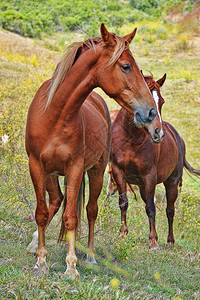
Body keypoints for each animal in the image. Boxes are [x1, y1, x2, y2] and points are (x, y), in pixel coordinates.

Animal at [25, 23, 162, 278]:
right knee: (55, 201)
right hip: (51, 174)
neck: (55, 115)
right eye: (126, 66)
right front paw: (41, 260)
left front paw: (71, 266)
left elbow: (71, 217)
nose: (149, 112)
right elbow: (41, 212)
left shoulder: (75, 169)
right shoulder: (36, 166)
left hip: (96, 171)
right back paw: (34, 244)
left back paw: (89, 255)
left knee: (90, 210)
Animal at [110, 74, 199, 247]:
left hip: (172, 182)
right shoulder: (118, 171)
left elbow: (151, 207)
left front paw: (153, 240)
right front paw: (122, 234)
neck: (131, 138)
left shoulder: (150, 176)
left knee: (170, 210)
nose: (158, 133)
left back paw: (170, 240)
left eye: (162, 102)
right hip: (143, 187)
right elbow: (123, 202)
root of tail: (177, 137)